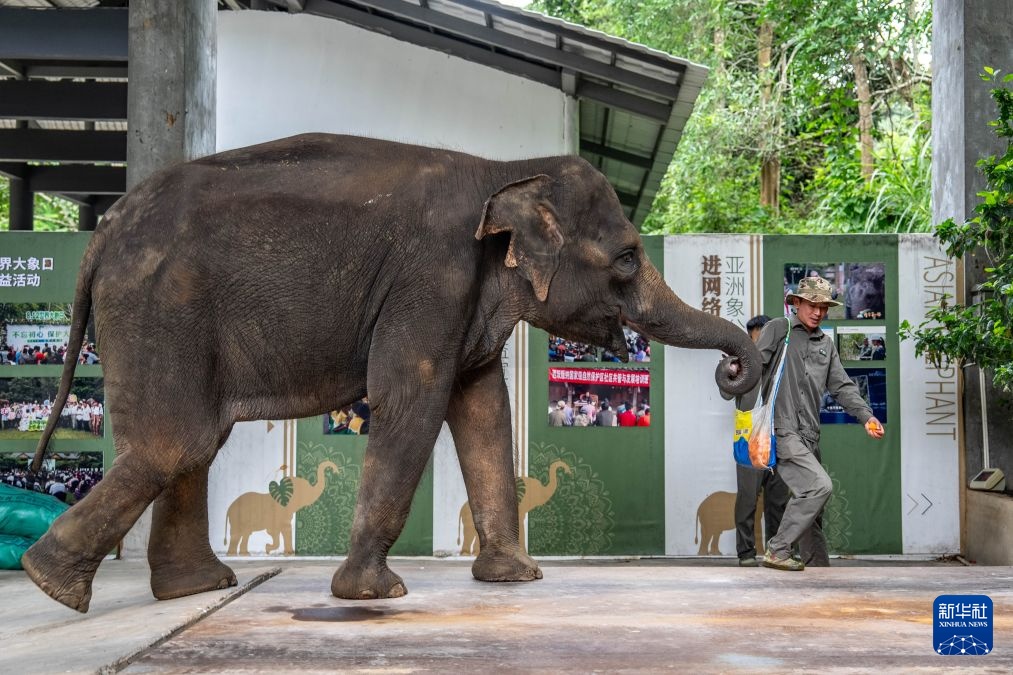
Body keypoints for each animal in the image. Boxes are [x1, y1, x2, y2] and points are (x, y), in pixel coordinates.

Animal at [23, 133, 761, 612]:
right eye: (628, 259)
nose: (736, 365)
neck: (504, 172)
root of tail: (104, 229)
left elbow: (484, 410)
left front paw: (517, 579)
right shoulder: (430, 280)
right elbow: (412, 400)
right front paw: (374, 594)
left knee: (193, 442)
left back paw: (193, 588)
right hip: (160, 308)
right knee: (177, 441)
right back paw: (50, 583)